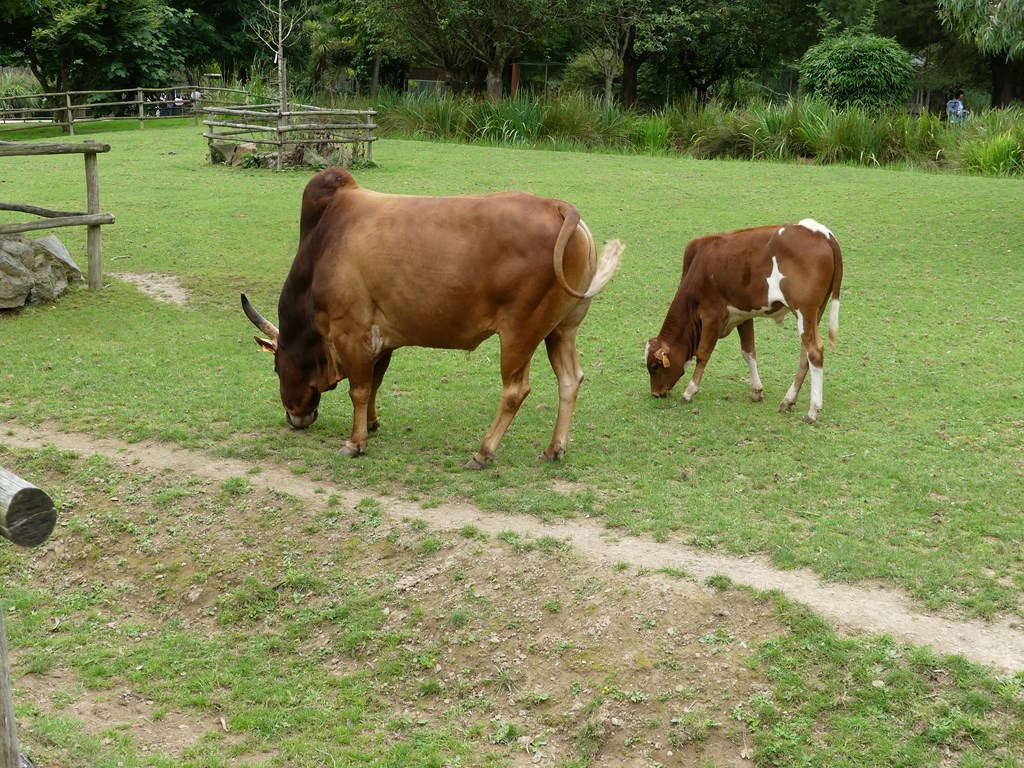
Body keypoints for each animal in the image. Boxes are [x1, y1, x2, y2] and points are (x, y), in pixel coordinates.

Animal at [243, 166, 623, 468]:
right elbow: (376, 383)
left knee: (515, 391)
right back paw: (554, 449)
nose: (294, 417)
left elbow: (360, 389)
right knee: (570, 379)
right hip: (560, 329)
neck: (323, 241)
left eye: (276, 367)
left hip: (520, 332)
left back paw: (483, 452)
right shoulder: (383, 339)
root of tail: (559, 207)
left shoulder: (350, 332)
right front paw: (372, 425)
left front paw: (354, 442)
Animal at [645, 219, 843, 423]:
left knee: (814, 352)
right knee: (806, 354)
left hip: (804, 310)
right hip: (815, 313)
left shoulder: (712, 315)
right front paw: (756, 391)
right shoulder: (743, 315)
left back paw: (812, 411)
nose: (656, 393)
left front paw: (689, 391)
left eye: (654, 366)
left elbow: (703, 353)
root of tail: (820, 232)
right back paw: (788, 400)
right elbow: (748, 352)